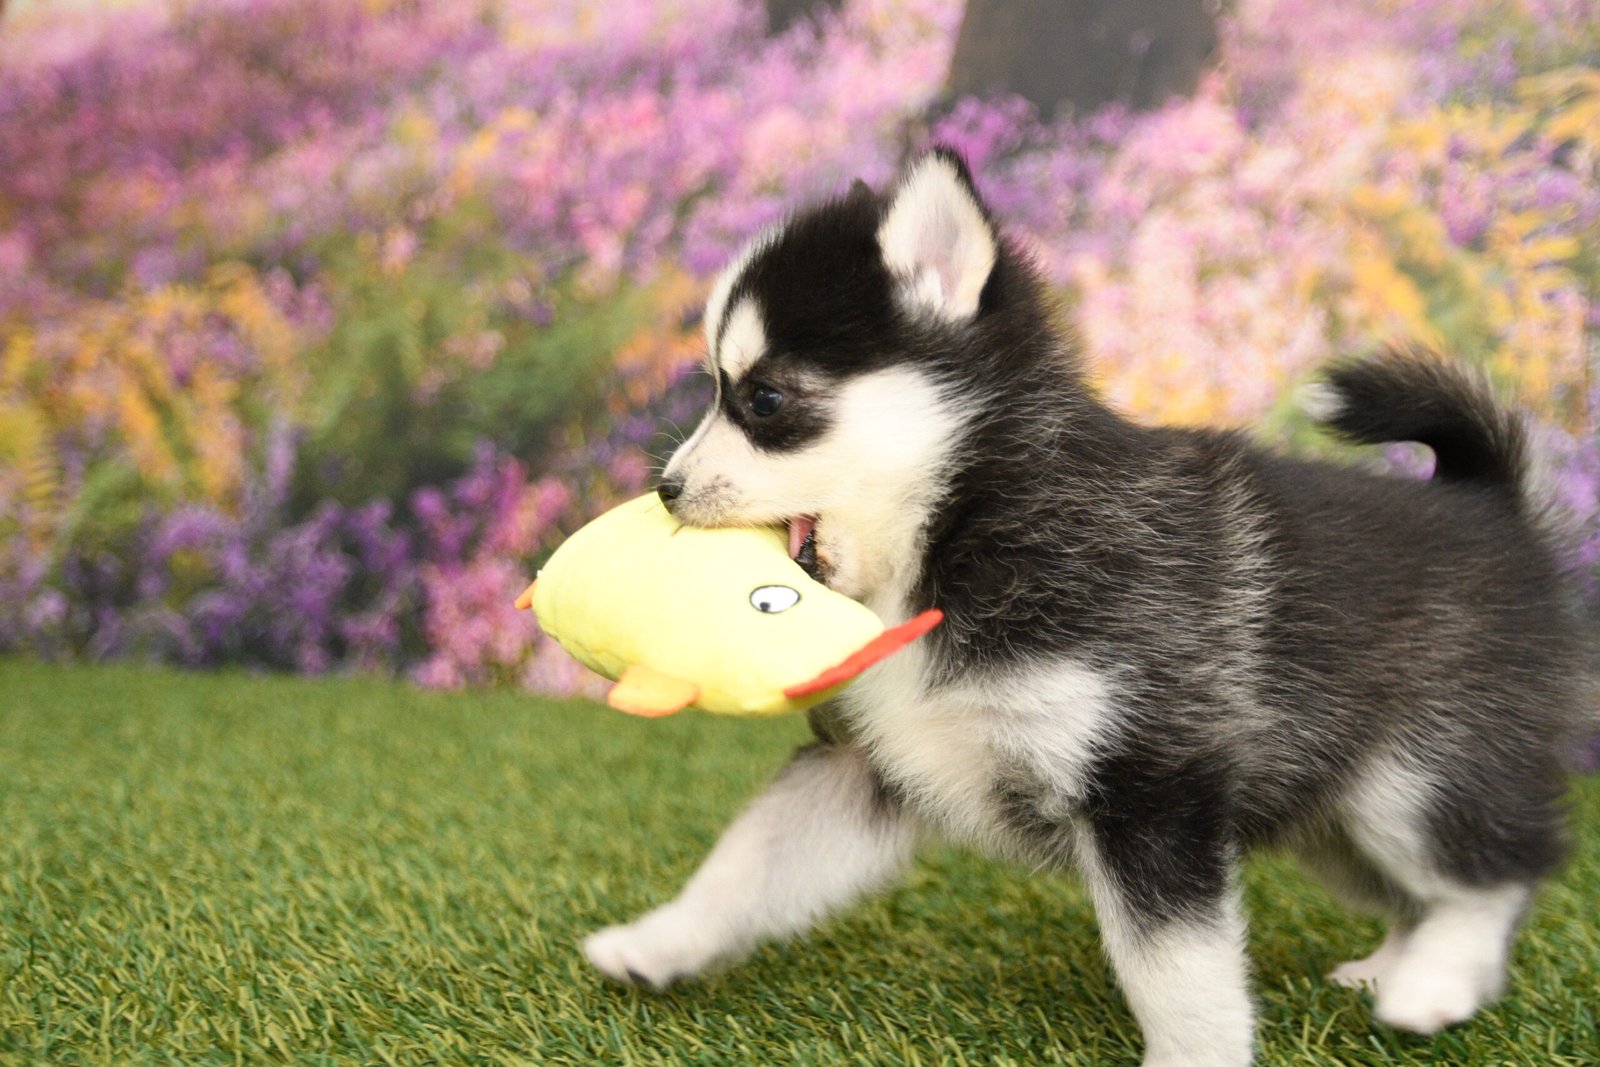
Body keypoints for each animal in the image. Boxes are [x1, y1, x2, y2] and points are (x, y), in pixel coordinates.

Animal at [582, 148, 1585, 1067]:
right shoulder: (867, 764)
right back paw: (1389, 964)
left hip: (1414, 778)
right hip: (1330, 812)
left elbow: (1175, 971)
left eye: (763, 398)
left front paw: (1194, 1060)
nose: (667, 489)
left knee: (1497, 872)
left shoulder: (1149, 787)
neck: (957, 536)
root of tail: (1488, 506)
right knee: (1418, 890)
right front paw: (658, 940)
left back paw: (1435, 982)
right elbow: (747, 860)